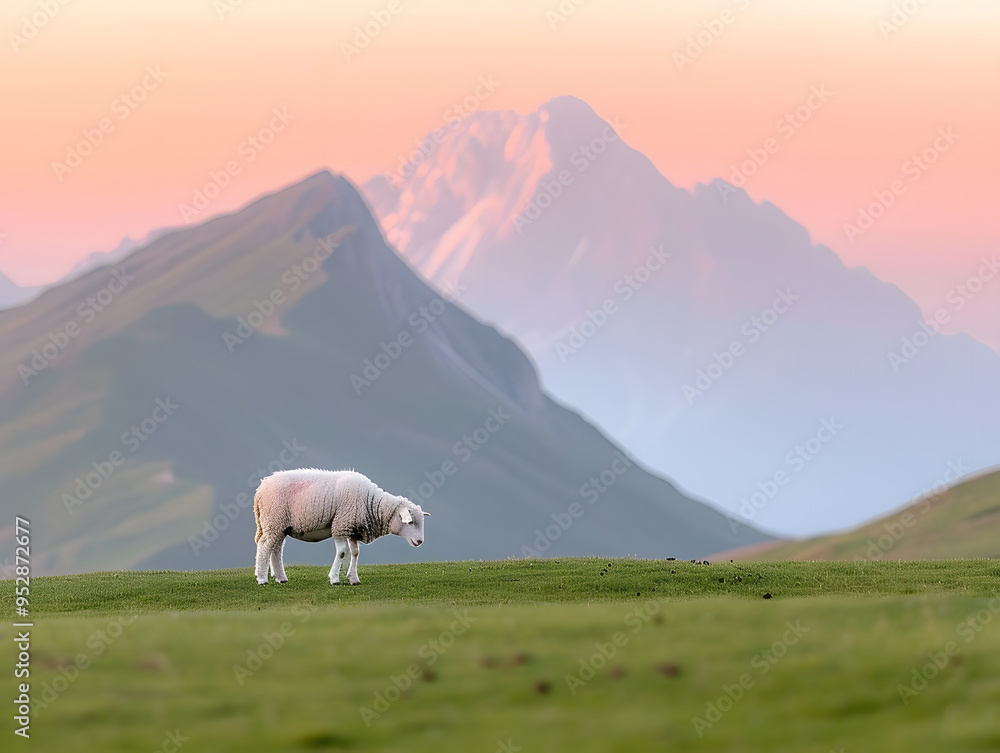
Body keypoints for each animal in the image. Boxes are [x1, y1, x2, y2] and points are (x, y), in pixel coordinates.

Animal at [253, 468, 429, 585]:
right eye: (410, 522)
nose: (420, 542)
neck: (373, 505)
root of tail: (261, 488)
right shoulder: (340, 526)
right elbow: (343, 553)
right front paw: (335, 579)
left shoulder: (352, 529)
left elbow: (355, 553)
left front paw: (353, 578)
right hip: (273, 520)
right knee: (264, 546)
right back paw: (262, 578)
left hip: (280, 525)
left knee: (276, 549)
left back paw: (281, 578)